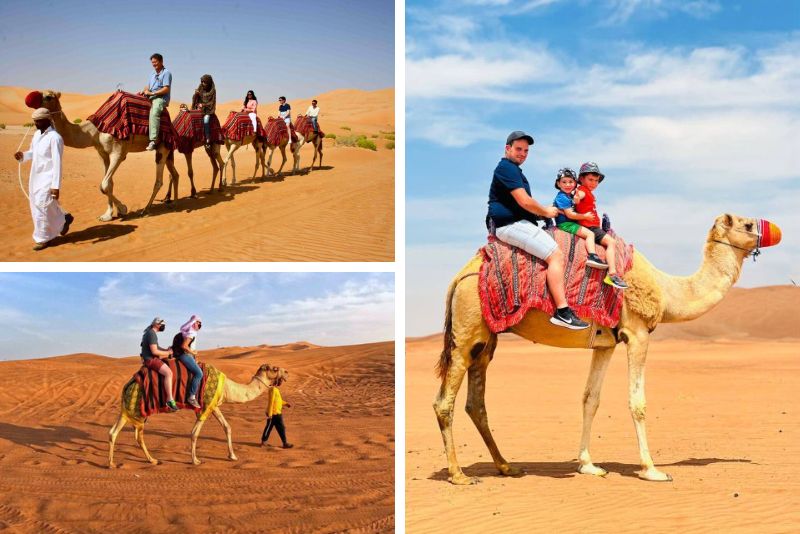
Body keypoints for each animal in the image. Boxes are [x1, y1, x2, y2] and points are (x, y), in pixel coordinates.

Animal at [35, 91, 178, 221]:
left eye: (48, 96)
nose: (33, 100)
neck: (94, 131)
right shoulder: (102, 154)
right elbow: (109, 184)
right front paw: (107, 215)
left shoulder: (118, 152)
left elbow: (103, 185)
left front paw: (123, 209)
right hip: (167, 149)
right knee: (174, 174)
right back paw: (174, 203)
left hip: (163, 147)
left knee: (159, 180)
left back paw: (146, 210)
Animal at [109, 362, 288, 466]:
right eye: (275, 369)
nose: (286, 372)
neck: (227, 388)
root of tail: (128, 384)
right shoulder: (205, 405)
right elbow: (194, 433)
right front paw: (195, 460)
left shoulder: (214, 405)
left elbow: (227, 427)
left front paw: (232, 456)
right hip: (135, 406)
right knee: (128, 434)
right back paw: (121, 463)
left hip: (130, 409)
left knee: (120, 433)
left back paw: (146, 460)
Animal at [438, 215, 780, 486]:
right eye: (747, 224)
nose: (774, 230)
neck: (666, 290)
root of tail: (458, 277)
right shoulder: (637, 333)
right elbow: (637, 403)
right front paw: (652, 470)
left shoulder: (605, 343)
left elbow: (590, 399)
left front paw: (588, 465)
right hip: (467, 329)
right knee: (444, 401)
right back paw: (459, 475)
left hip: (487, 339)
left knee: (476, 403)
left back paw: (507, 467)